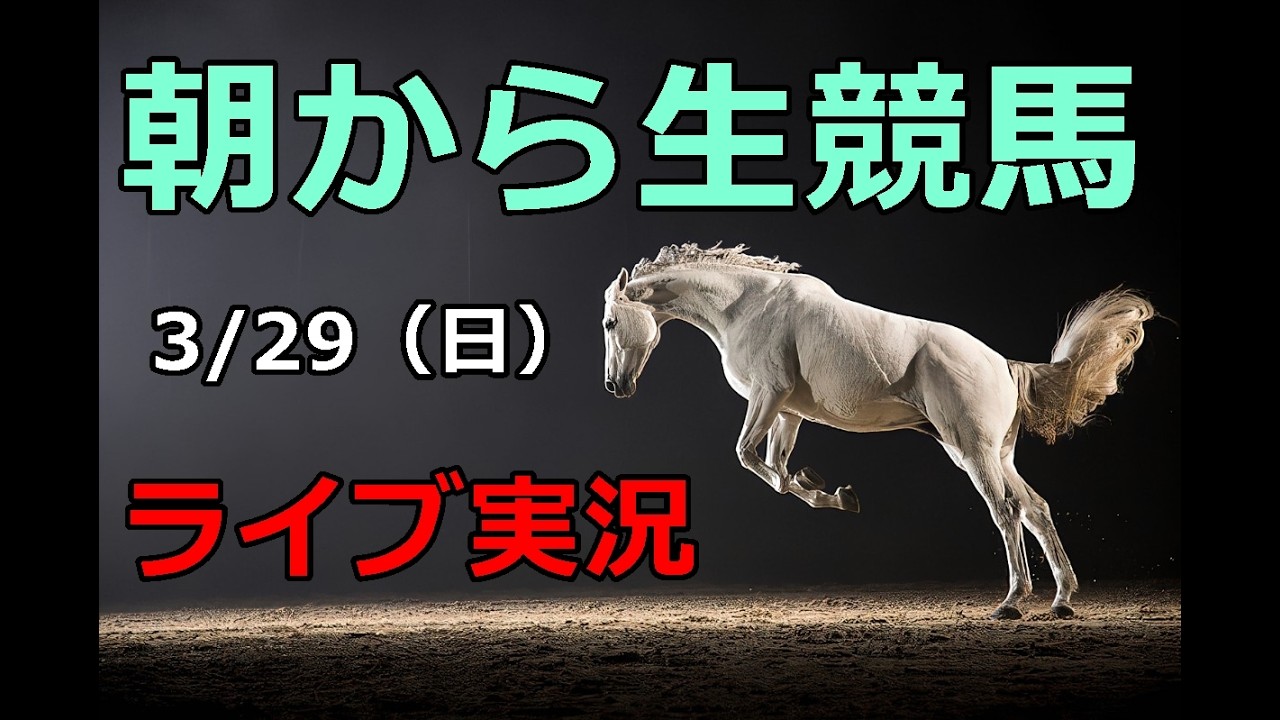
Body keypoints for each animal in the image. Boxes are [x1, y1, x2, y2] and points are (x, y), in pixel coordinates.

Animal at [601, 243, 1154, 620]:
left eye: (609, 323)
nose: (614, 386)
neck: (749, 305)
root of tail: (1004, 364)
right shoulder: (788, 412)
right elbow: (776, 470)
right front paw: (832, 492)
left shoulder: (768, 396)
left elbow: (748, 457)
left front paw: (826, 489)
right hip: (990, 454)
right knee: (1035, 508)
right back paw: (1062, 599)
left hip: (974, 452)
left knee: (1007, 510)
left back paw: (1013, 602)